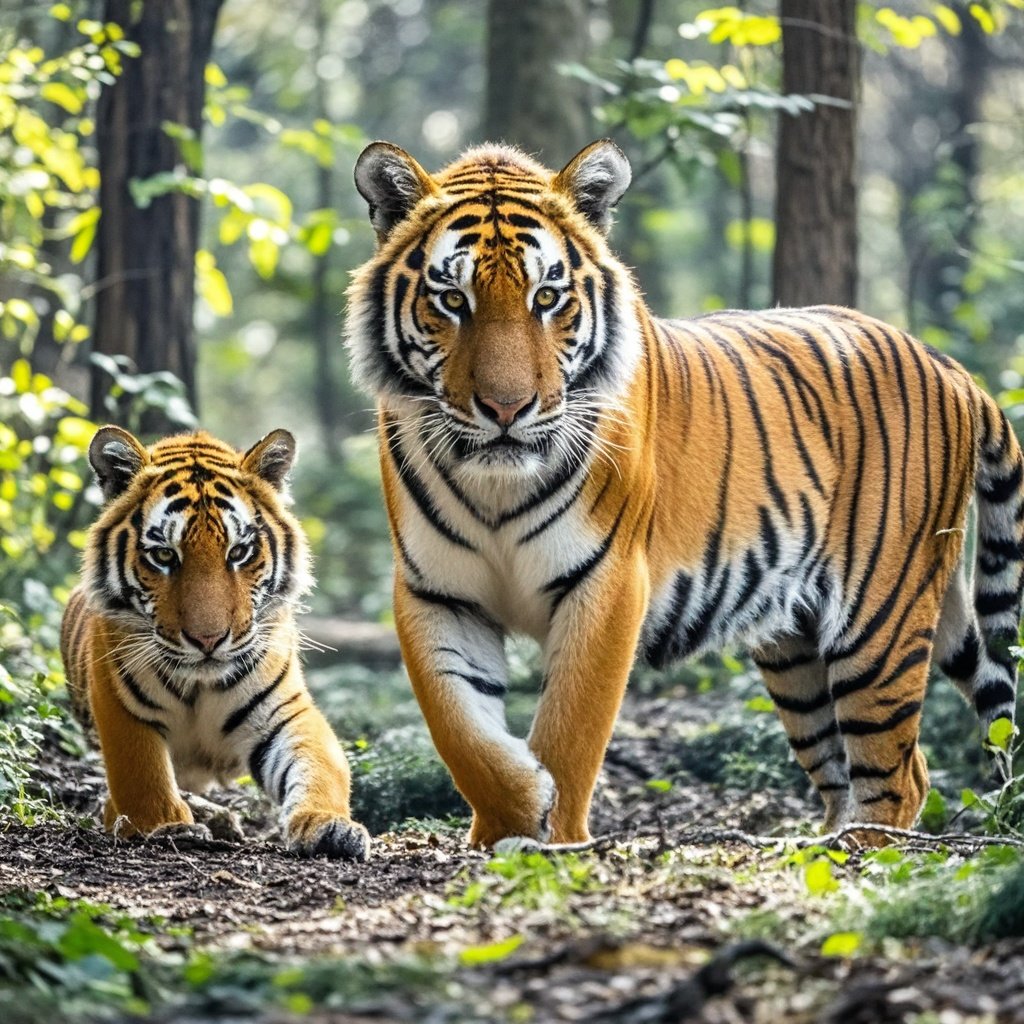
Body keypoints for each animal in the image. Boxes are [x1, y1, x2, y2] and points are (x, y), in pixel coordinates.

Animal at [60, 426, 370, 860]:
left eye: (239, 552)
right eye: (163, 555)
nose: (208, 639)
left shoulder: (285, 713)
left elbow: (319, 765)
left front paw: (328, 826)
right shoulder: (122, 710)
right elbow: (142, 776)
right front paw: (167, 826)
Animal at [344, 138, 1024, 849]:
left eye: (547, 296)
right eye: (452, 299)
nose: (507, 409)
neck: (497, 484)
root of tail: (948, 365)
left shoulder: (608, 582)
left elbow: (570, 727)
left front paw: (553, 837)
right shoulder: (436, 591)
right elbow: (460, 730)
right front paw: (510, 818)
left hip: (878, 619)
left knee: (896, 775)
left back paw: (858, 854)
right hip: (798, 650)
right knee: (863, 764)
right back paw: (820, 845)